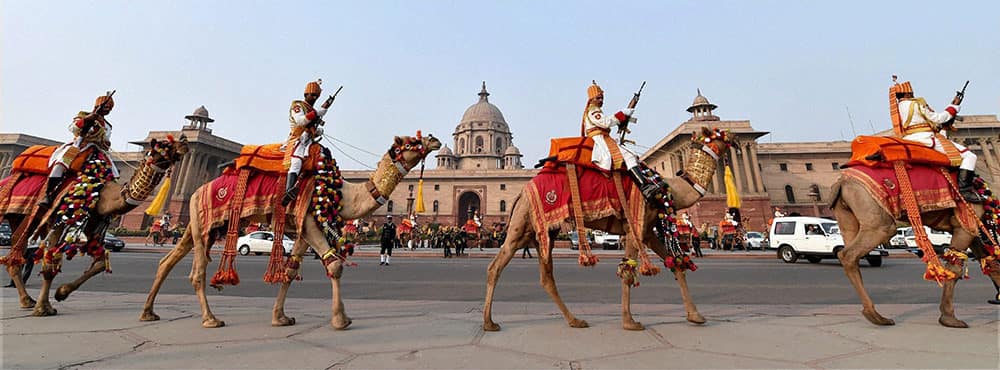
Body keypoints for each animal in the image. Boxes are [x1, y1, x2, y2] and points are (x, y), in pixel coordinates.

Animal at [0, 136, 189, 316]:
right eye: (165, 144)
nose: (185, 143)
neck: (102, 192)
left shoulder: (93, 224)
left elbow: (99, 263)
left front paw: (61, 292)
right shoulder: (58, 219)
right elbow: (50, 263)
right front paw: (43, 308)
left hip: (19, 217)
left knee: (16, 247)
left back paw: (26, 300)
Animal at [139, 134, 440, 328]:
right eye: (411, 140)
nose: (434, 139)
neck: (340, 191)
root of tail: (195, 192)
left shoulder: (304, 230)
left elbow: (291, 270)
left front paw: (280, 317)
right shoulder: (309, 220)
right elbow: (334, 266)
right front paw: (340, 319)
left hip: (199, 225)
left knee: (167, 261)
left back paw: (148, 312)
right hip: (203, 224)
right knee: (198, 271)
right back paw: (210, 319)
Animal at [480, 129, 732, 330]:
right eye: (719, 135)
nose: (734, 141)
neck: (668, 188)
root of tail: (523, 191)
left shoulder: (647, 230)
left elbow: (676, 265)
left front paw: (696, 316)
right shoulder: (635, 224)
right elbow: (628, 271)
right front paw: (630, 322)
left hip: (536, 229)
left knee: (534, 273)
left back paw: (569, 320)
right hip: (527, 222)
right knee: (502, 266)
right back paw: (492, 322)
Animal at [828, 171, 1000, 326]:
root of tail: (841, 184)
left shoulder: (969, 228)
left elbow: (989, 262)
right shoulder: (965, 221)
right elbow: (955, 268)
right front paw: (949, 318)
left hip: (846, 215)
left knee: (850, 254)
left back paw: (875, 315)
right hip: (873, 212)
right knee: (850, 253)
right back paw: (875, 316)